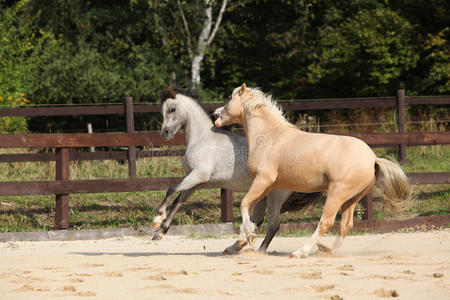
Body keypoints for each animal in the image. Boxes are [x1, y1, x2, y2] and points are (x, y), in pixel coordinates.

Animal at [151, 88, 324, 252]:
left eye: (172, 109)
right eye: (161, 111)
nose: (165, 133)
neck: (203, 139)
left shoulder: (198, 175)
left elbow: (171, 189)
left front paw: (157, 219)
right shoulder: (194, 182)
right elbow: (178, 201)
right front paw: (160, 232)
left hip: (275, 196)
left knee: (273, 225)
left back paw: (257, 250)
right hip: (263, 195)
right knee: (257, 221)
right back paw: (237, 246)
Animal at [216, 83, 414, 256]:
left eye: (229, 98)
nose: (215, 113)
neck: (270, 136)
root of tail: (373, 158)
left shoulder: (263, 180)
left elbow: (244, 204)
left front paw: (248, 237)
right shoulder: (268, 187)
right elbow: (252, 213)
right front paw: (241, 241)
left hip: (337, 193)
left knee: (325, 222)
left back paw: (300, 252)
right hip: (352, 199)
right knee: (346, 225)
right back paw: (328, 251)